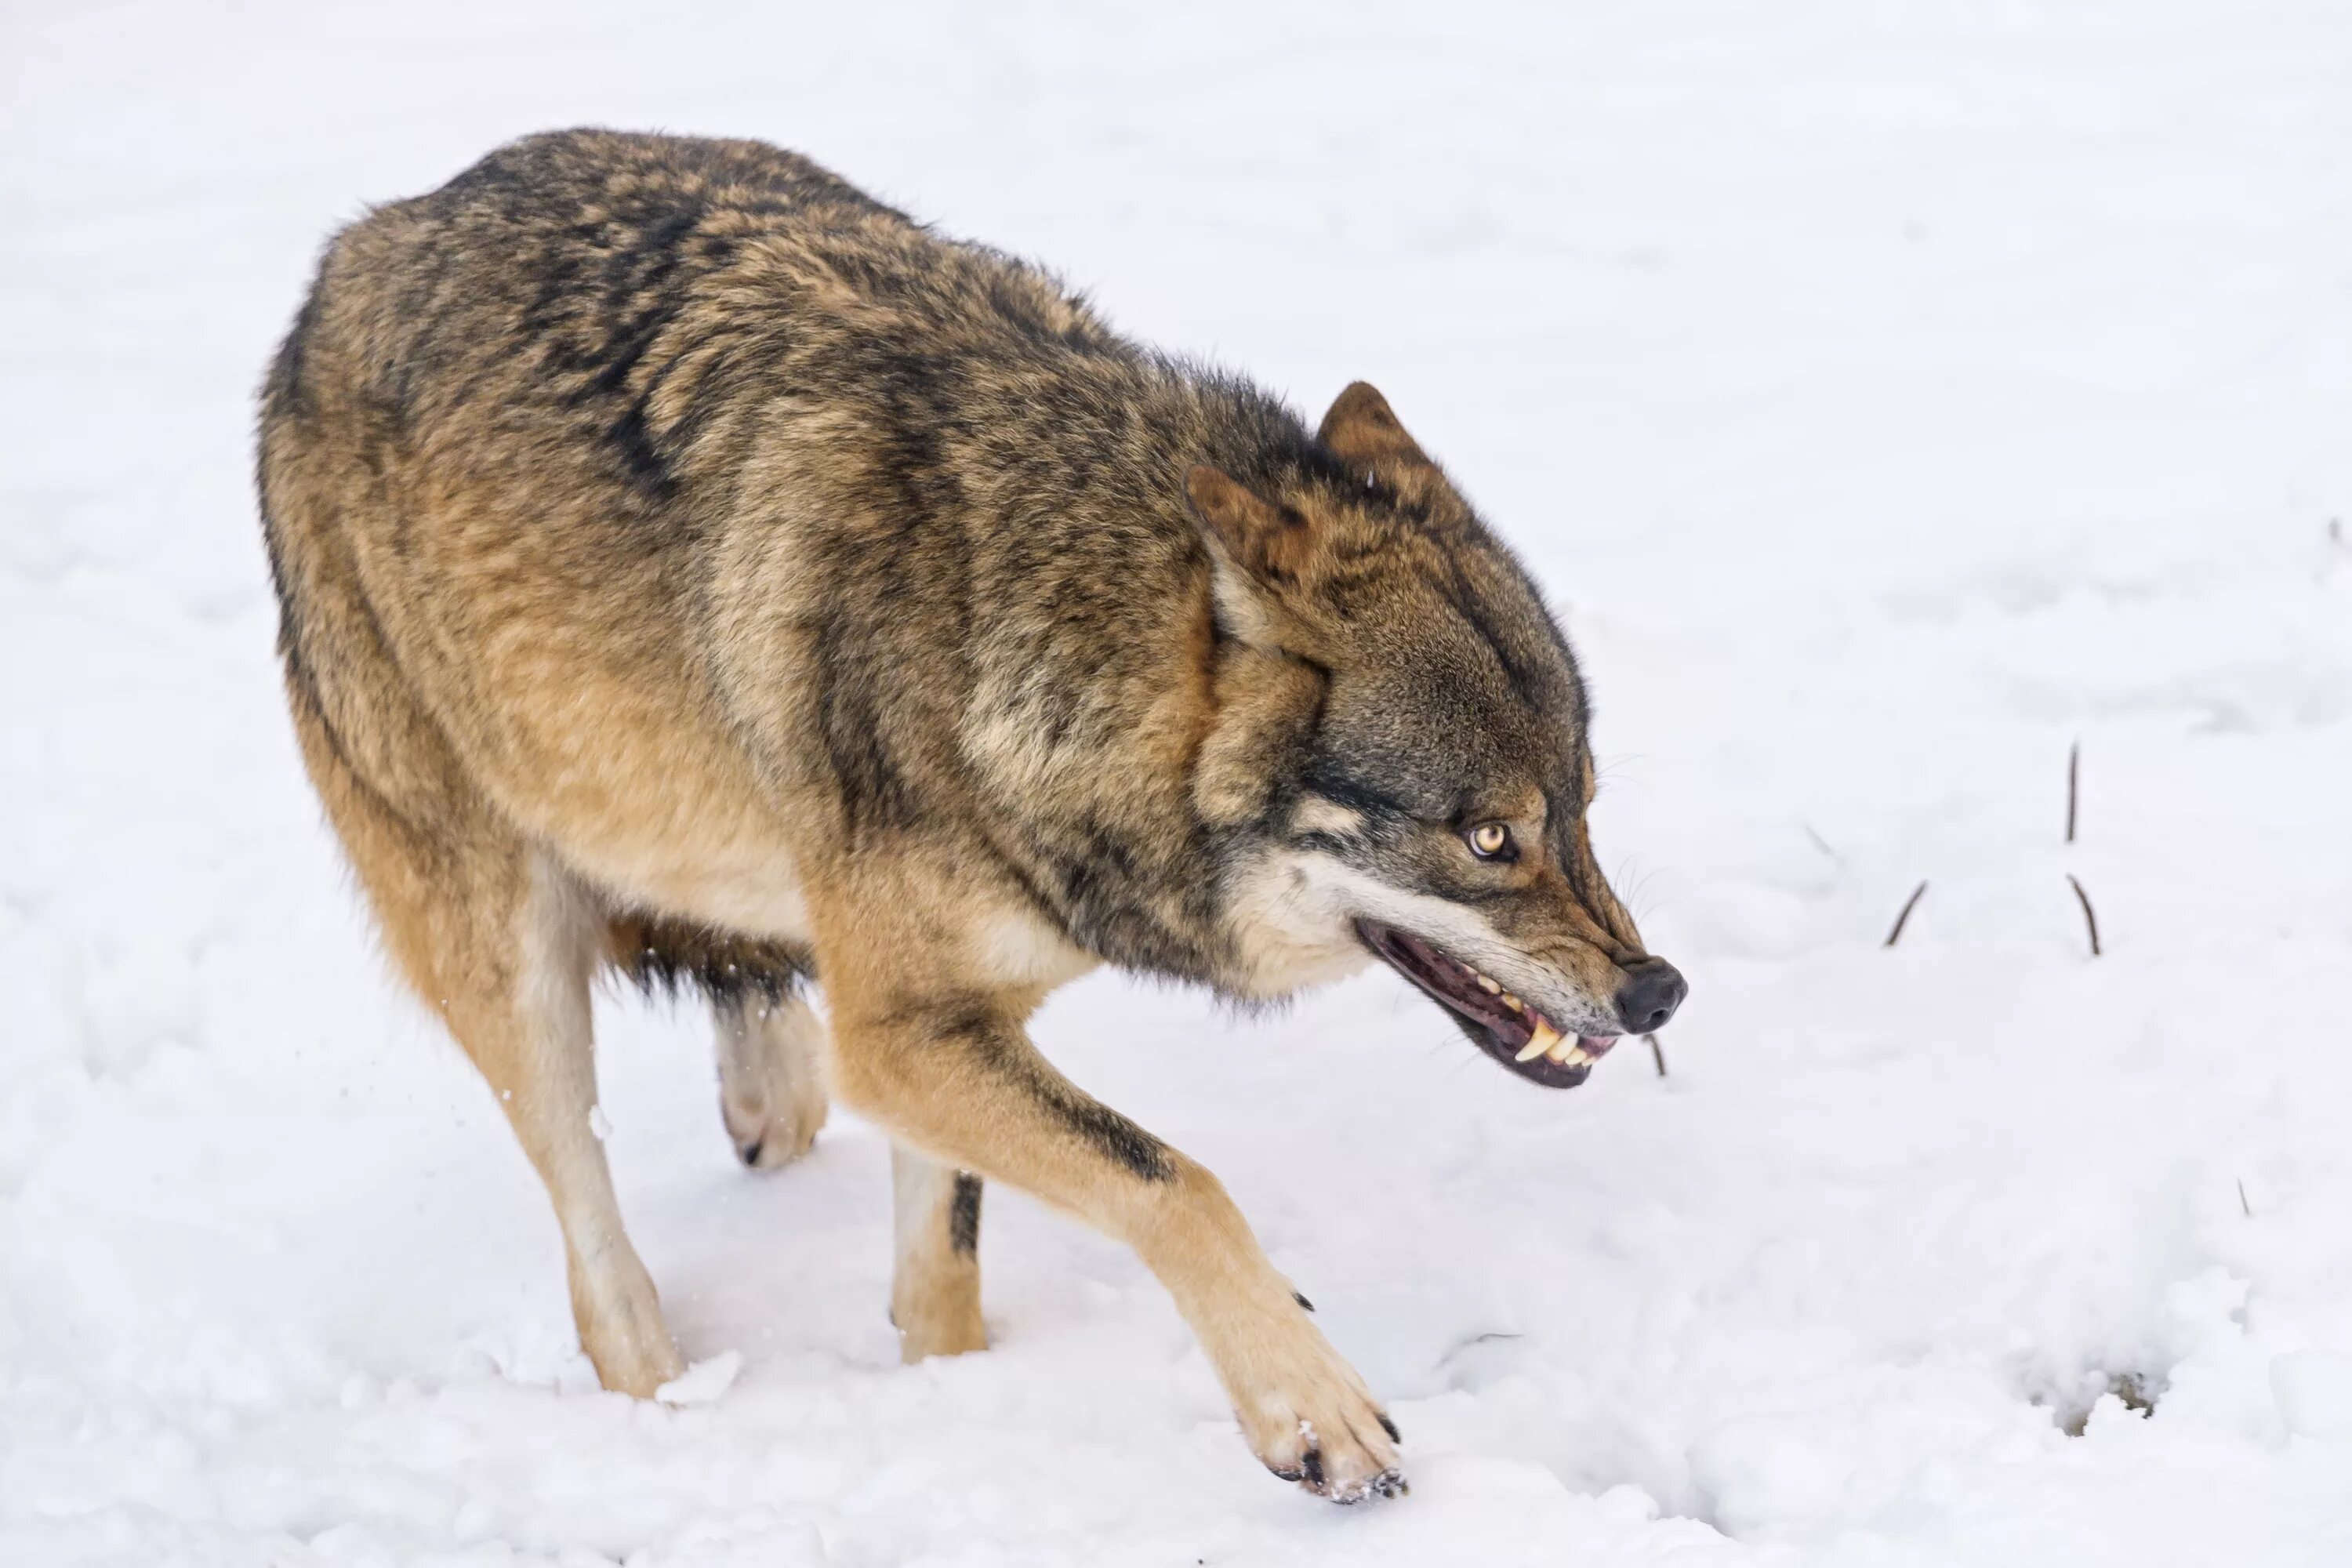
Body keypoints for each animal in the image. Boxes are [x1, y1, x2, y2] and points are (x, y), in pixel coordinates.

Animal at [257, 129, 1684, 1504]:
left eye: (1581, 805)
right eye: (1488, 837)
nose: (1660, 992)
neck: (1020, 629)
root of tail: (354, 251)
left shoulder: (955, 1017)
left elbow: (943, 1261)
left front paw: (948, 1394)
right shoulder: (903, 1036)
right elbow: (1179, 1184)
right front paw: (1313, 1413)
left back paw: (768, 1097)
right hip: (505, 955)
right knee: (594, 1249)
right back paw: (661, 1399)